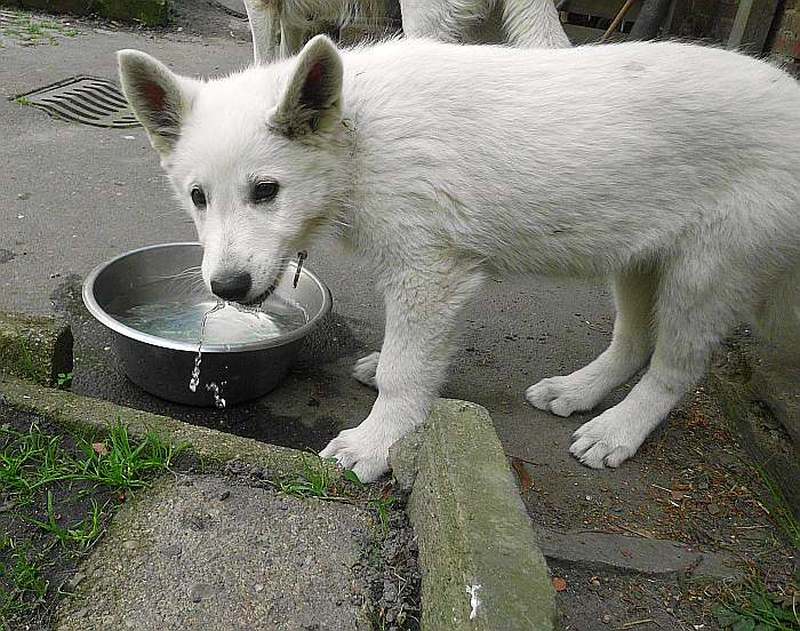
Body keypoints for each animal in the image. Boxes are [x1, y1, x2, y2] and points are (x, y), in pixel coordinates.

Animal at [117, 37, 800, 482]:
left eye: (267, 191)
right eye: (197, 197)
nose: (228, 288)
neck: (361, 138)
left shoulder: (430, 271)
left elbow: (406, 370)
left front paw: (377, 442)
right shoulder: (422, 272)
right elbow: (407, 353)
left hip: (707, 271)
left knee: (676, 367)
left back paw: (619, 430)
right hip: (635, 251)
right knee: (634, 341)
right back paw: (580, 391)